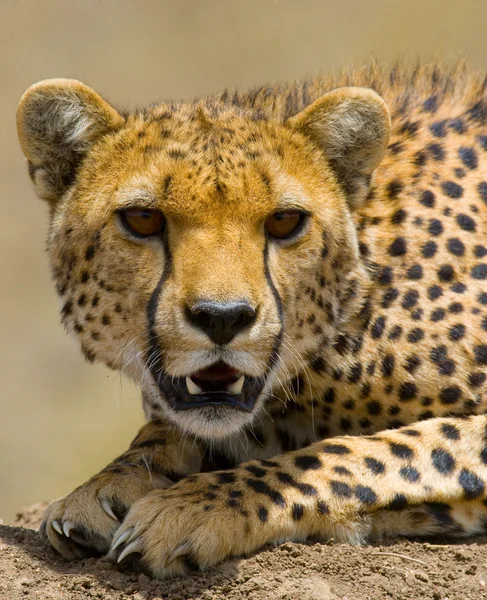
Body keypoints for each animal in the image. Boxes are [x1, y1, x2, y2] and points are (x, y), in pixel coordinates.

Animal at [15, 64, 487, 576]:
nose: (223, 318)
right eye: (141, 218)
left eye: (284, 221)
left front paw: (197, 507)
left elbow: (367, 450)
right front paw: (104, 487)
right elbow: (166, 432)